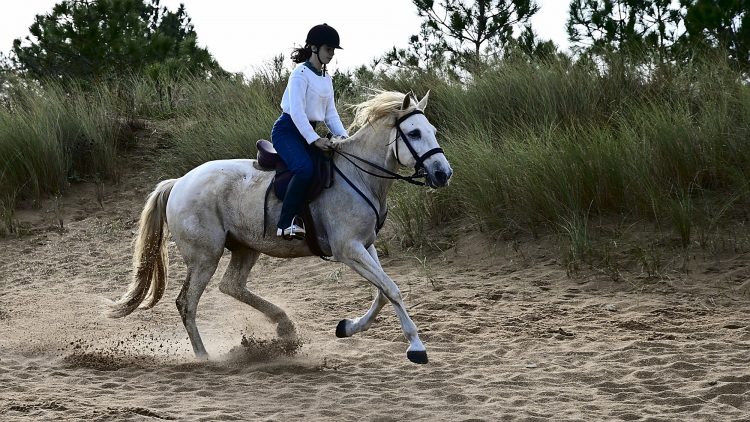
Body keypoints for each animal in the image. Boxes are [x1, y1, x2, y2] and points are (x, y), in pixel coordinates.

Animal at [108, 90, 453, 364]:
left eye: (433, 130)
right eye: (415, 133)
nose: (443, 174)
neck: (359, 177)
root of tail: (179, 182)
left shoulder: (364, 246)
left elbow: (382, 292)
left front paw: (347, 327)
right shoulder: (348, 250)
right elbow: (392, 289)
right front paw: (416, 347)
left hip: (245, 248)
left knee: (231, 286)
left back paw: (284, 326)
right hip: (205, 256)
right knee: (187, 303)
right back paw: (204, 357)